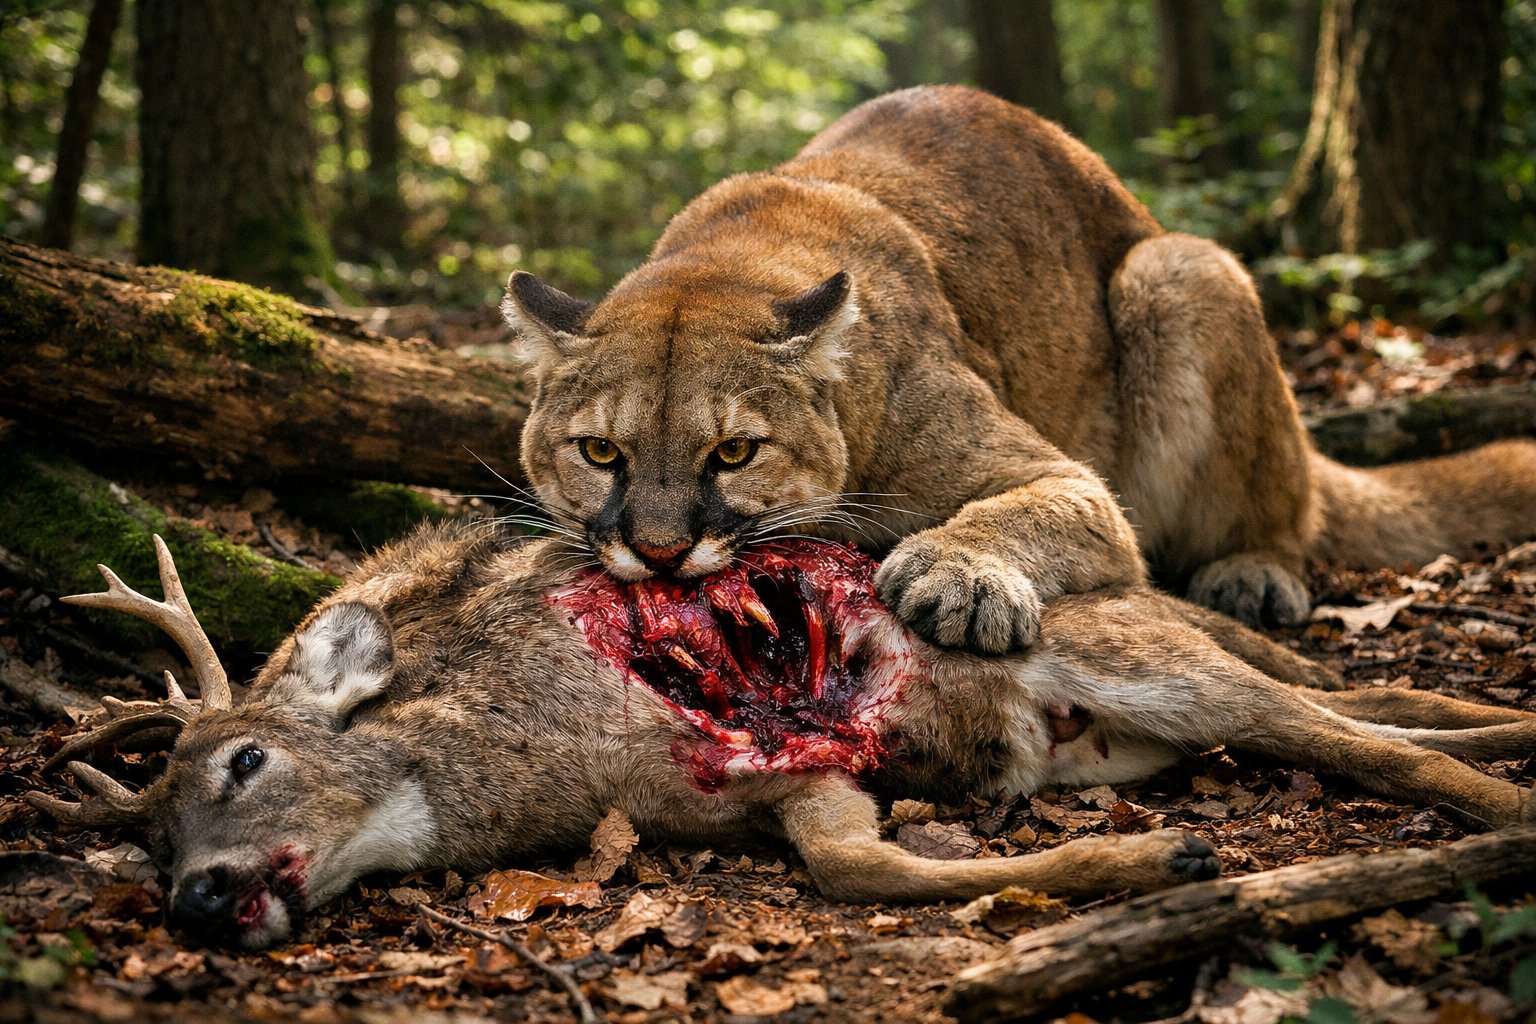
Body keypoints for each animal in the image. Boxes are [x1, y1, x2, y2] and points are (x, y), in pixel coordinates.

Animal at [27, 524, 1536, 950]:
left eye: (246, 760)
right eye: (147, 835)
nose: (199, 896)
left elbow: (862, 870)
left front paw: (1167, 865)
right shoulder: (782, 787)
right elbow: (855, 864)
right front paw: (1142, 861)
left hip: (1149, 662)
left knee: (1358, 729)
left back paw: (1498, 792)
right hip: (1135, 715)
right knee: (1360, 702)